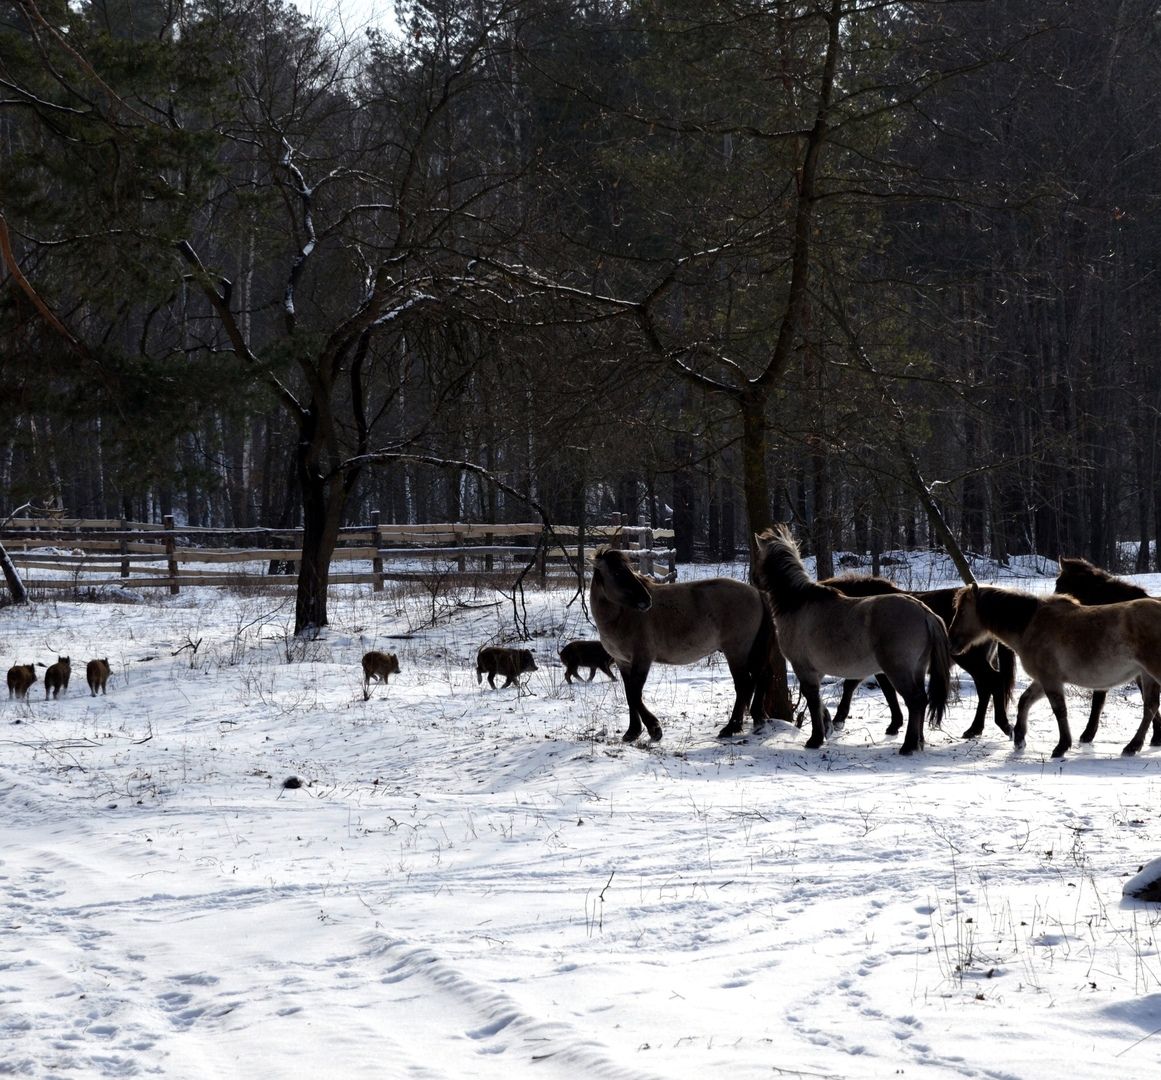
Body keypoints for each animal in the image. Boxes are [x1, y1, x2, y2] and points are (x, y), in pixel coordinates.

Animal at [590, 547, 772, 742]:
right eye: (617, 572)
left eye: (630, 570)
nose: (646, 600)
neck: (623, 617)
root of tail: (756, 592)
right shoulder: (622, 662)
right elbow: (629, 694)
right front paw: (632, 731)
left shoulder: (642, 659)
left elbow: (634, 694)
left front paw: (654, 729)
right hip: (751, 651)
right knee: (760, 677)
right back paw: (757, 717)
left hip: (736, 652)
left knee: (744, 685)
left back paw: (731, 727)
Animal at [754, 526, 951, 755]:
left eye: (758, 556)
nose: (753, 579)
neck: (798, 602)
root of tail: (925, 612)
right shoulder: (816, 670)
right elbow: (817, 700)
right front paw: (828, 725)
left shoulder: (803, 667)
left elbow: (812, 699)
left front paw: (815, 738)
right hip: (917, 670)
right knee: (922, 700)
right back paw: (918, 742)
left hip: (898, 670)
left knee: (916, 701)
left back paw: (908, 745)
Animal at [824, 575, 1015, 741]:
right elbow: (886, 691)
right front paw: (895, 724)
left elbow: (856, 686)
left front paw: (839, 720)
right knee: (985, 689)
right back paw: (975, 729)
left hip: (972, 661)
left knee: (994, 683)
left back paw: (1001, 725)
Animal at [947, 583, 1161, 757]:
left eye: (962, 611)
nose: (951, 641)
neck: (1030, 625)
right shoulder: (1042, 680)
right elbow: (1024, 701)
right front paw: (1019, 738)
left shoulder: (1050, 680)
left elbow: (1059, 710)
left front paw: (1061, 746)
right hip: (1147, 675)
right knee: (1150, 707)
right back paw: (1133, 746)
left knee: (1150, 707)